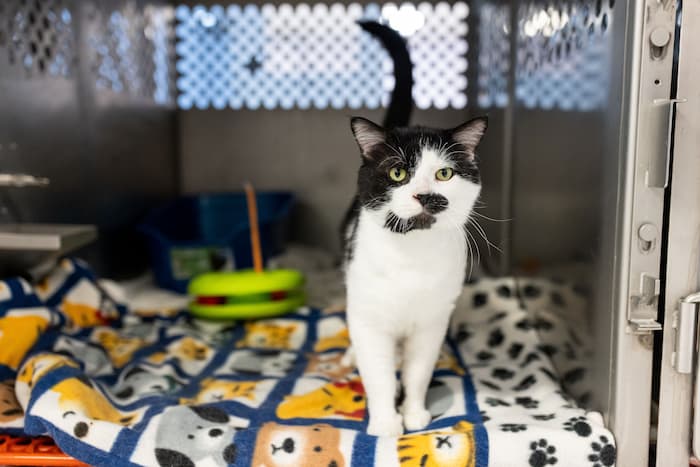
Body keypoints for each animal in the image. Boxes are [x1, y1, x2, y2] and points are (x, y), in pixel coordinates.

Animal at [344, 115, 490, 436]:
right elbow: (379, 375)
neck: (412, 252)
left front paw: (413, 413)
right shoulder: (369, 319)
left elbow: (418, 372)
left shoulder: (431, 324)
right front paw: (385, 424)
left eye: (445, 173)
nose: (424, 195)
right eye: (397, 173)